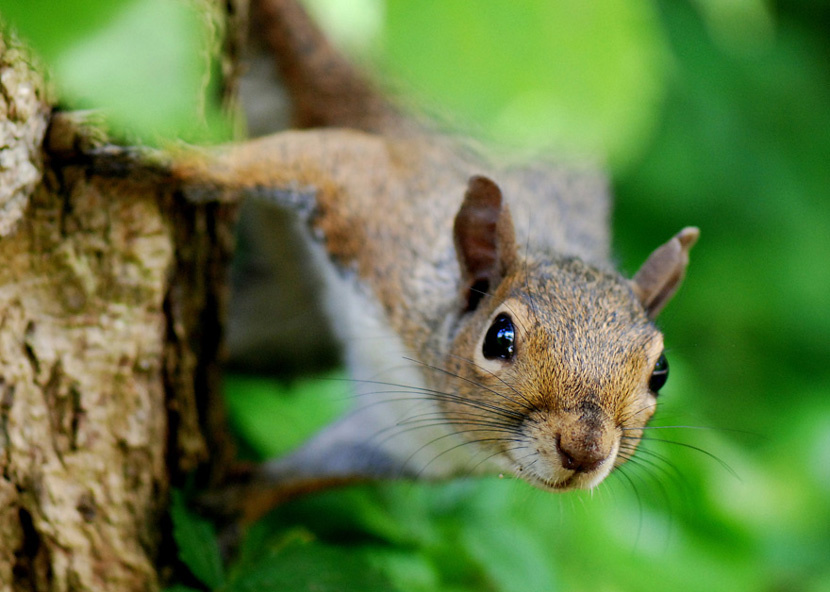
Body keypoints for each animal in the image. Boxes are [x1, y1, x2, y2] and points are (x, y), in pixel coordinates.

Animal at [167, 0, 699, 513]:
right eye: (499, 337)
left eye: (660, 372)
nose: (584, 450)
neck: (426, 382)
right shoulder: (378, 209)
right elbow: (298, 159)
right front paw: (174, 159)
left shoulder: (398, 440)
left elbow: (299, 475)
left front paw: (230, 504)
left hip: (288, 326)